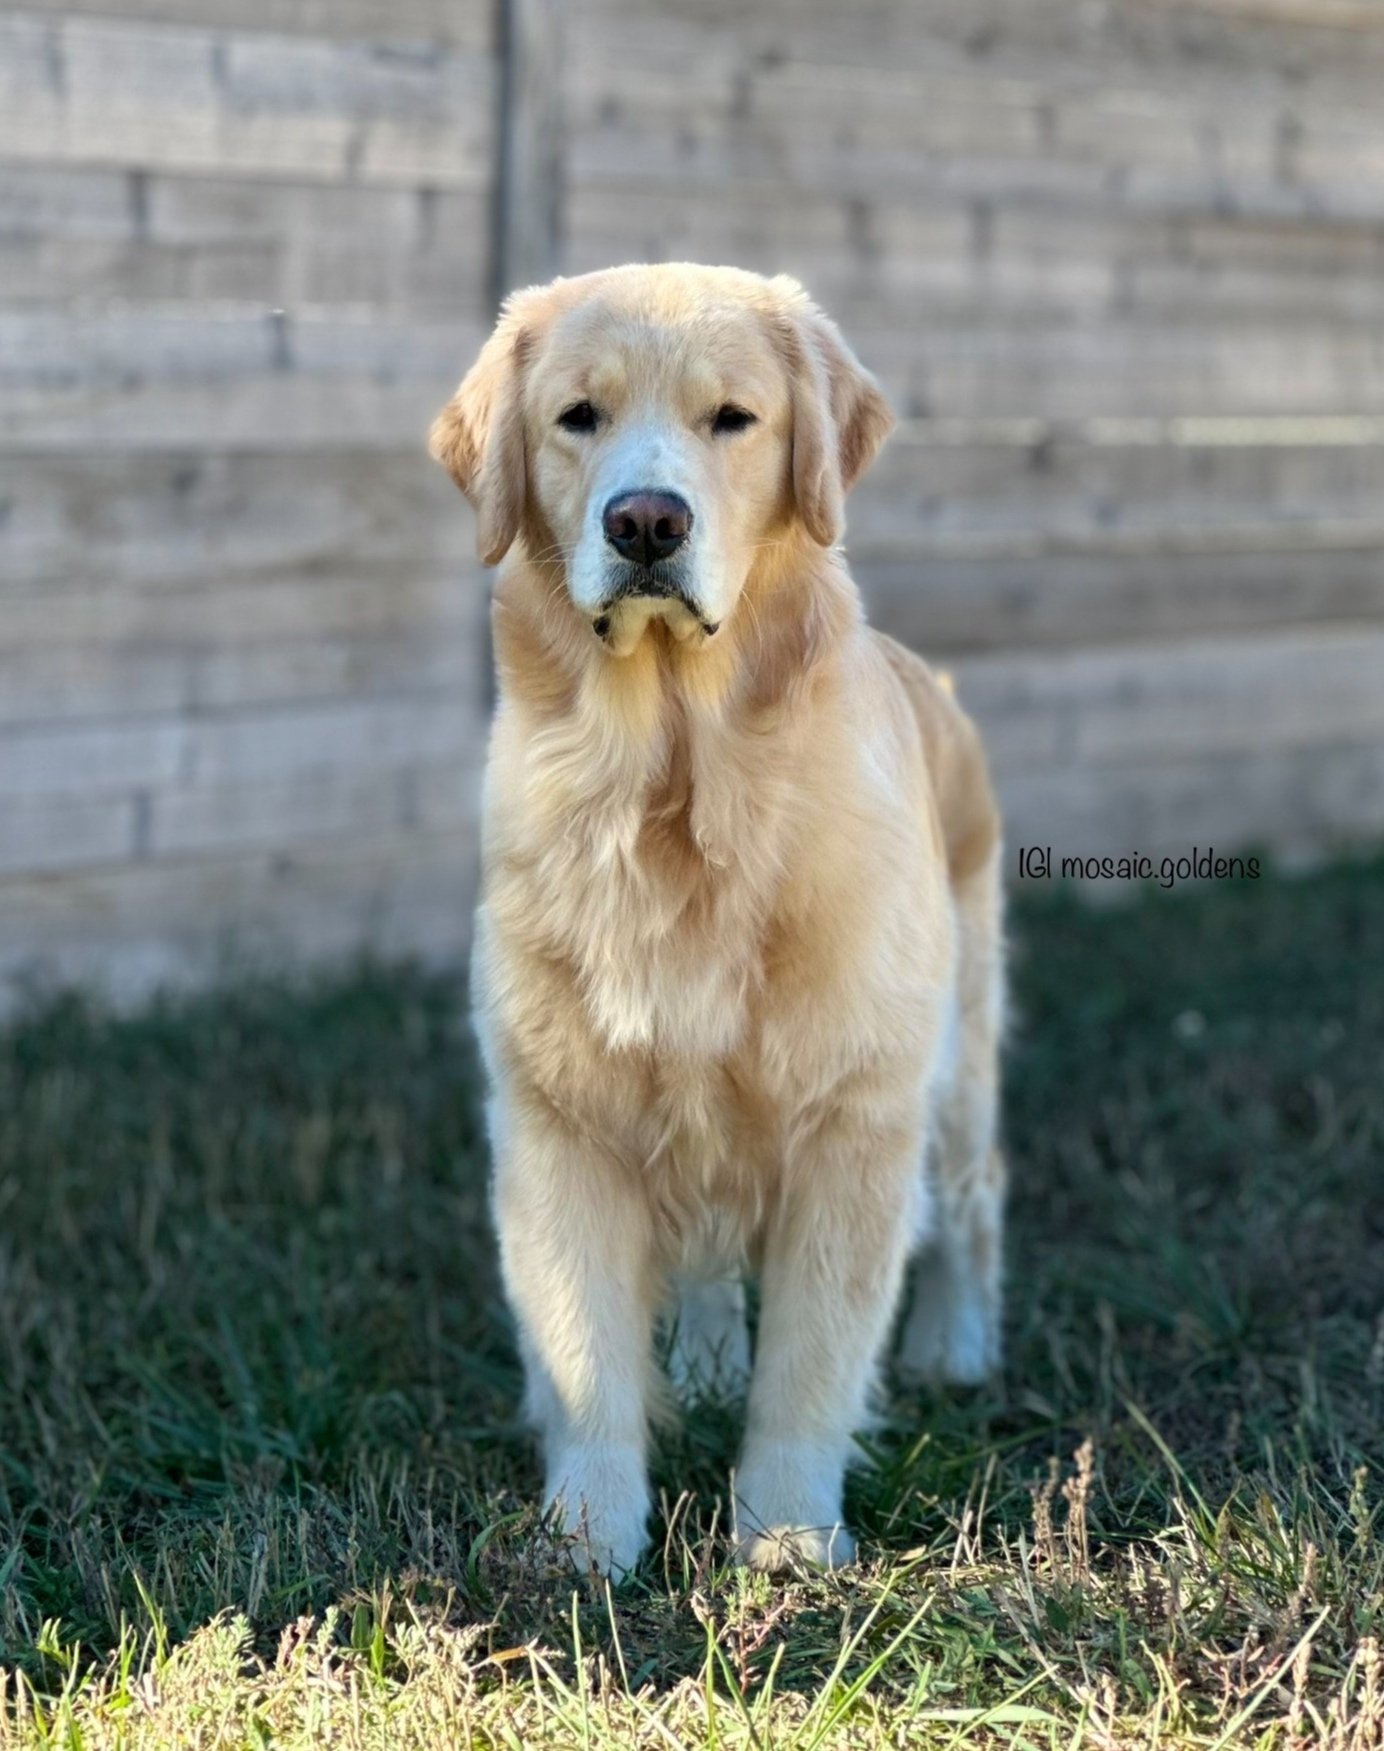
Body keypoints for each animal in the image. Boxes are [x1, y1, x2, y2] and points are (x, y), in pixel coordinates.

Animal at [430, 264, 1005, 1577]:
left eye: (732, 419)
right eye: (577, 417)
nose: (645, 522)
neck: (676, 783)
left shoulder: (856, 1118)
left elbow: (810, 1362)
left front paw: (785, 1537)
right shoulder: (557, 1118)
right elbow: (585, 1351)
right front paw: (586, 1538)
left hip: (955, 1072)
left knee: (973, 1199)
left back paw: (959, 1347)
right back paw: (698, 1361)